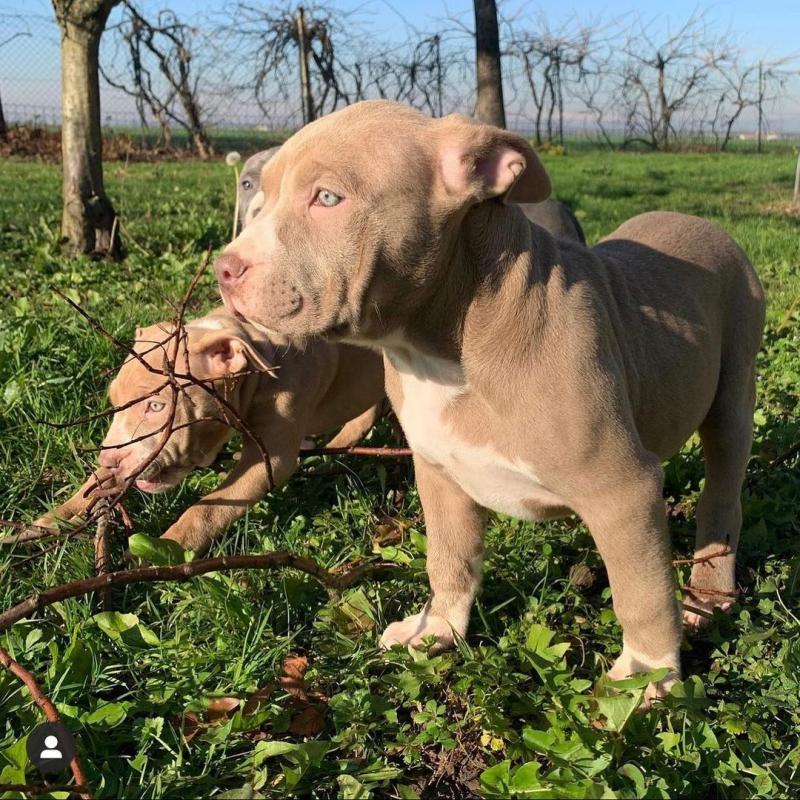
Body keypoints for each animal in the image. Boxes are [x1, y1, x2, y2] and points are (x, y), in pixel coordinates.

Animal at [36, 310, 386, 552]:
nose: (110, 460)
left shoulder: (268, 462)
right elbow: (94, 482)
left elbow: (206, 510)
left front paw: (161, 553)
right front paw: (53, 519)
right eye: (114, 403)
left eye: (157, 407)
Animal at [216, 101, 764, 700]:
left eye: (329, 198)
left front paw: (646, 678)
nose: (225, 268)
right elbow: (448, 558)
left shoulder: (624, 487)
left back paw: (708, 593)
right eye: (256, 192)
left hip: (734, 392)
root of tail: (708, 224)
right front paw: (436, 630)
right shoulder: (438, 471)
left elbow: (640, 593)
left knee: (722, 496)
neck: (446, 349)